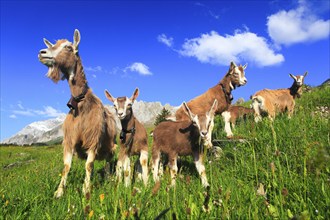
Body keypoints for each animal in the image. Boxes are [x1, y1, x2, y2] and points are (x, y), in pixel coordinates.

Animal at [38, 29, 117, 198]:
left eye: (68, 47)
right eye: (53, 45)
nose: (42, 52)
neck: (81, 104)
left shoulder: (93, 139)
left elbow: (89, 165)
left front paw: (86, 190)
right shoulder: (70, 140)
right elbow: (66, 167)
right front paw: (59, 192)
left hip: (111, 143)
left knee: (108, 159)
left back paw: (108, 177)